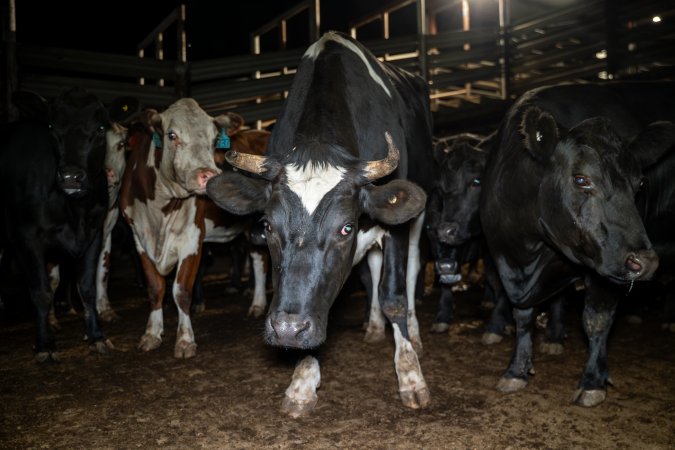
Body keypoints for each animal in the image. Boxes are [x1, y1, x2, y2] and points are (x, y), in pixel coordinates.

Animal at [0, 88, 135, 362]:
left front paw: (96, 336)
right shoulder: (26, 237)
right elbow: (41, 291)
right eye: (52, 127)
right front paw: (45, 345)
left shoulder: (94, 234)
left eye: (100, 127)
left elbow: (88, 286)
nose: (71, 176)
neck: (74, 208)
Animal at [119, 98, 270, 358]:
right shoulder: (139, 238)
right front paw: (151, 334)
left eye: (214, 138)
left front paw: (185, 340)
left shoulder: (192, 238)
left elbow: (181, 291)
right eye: (171, 135)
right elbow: (155, 288)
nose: (209, 175)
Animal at [480, 81, 675, 408]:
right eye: (582, 179)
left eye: (640, 184)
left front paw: (593, 382)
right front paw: (516, 371)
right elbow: (523, 316)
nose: (645, 262)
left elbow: (597, 320)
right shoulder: (504, 255)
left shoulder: (606, 268)